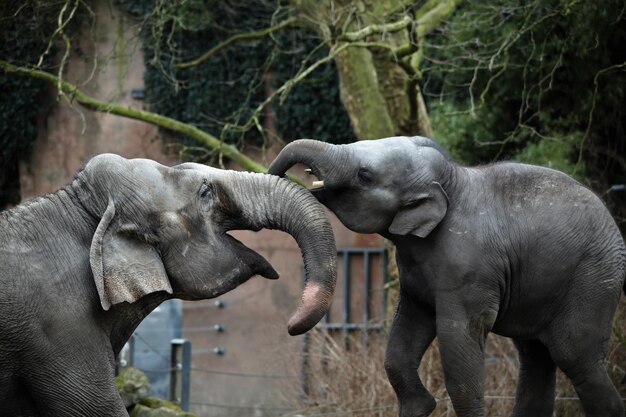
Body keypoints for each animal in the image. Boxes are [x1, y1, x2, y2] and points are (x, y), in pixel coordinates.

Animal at [268, 136, 624, 416]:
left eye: (364, 175)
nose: (274, 173)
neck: (453, 177)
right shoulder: (414, 271)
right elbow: (403, 339)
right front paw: (420, 408)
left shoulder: (469, 268)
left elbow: (457, 342)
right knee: (535, 355)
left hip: (594, 277)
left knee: (574, 355)